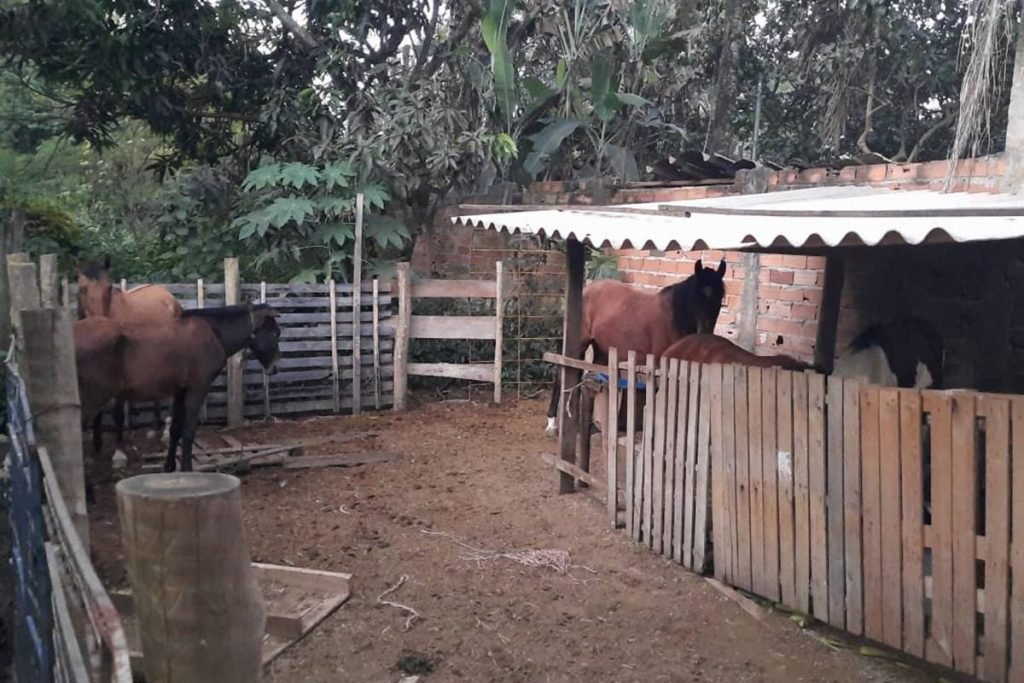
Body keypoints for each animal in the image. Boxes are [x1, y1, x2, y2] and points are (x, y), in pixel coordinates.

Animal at [74, 305, 284, 481]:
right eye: (275, 333)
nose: (275, 368)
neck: (212, 333)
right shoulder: (197, 388)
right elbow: (188, 430)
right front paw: (187, 469)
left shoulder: (180, 390)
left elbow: (175, 429)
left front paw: (169, 467)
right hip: (91, 401)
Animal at [76, 255, 182, 458]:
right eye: (82, 288)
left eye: (109, 287)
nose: (99, 324)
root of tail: (170, 298)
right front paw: (97, 444)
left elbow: (118, 413)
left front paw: (119, 451)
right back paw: (155, 428)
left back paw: (166, 431)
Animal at [544, 259, 729, 436]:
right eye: (695, 298)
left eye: (719, 299)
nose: (705, 334)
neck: (674, 319)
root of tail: (586, 289)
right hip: (580, 344)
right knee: (563, 373)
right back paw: (553, 423)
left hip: (602, 351)